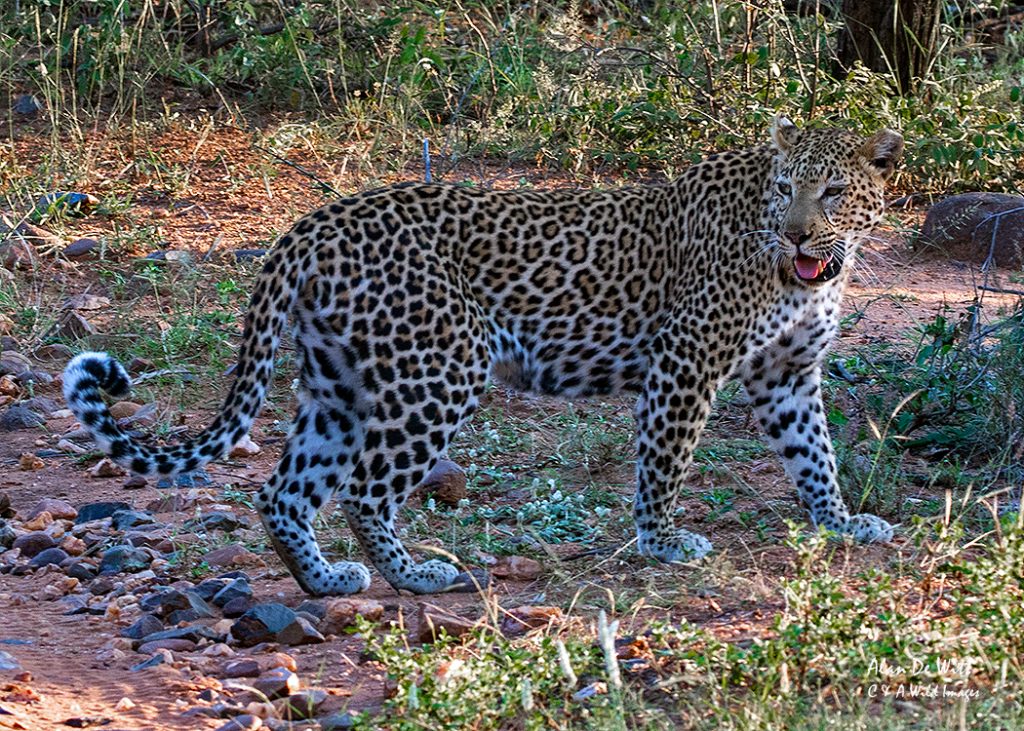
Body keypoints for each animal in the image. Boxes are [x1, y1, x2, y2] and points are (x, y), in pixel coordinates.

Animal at [63, 116, 902, 596]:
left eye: (833, 189)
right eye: (787, 187)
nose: (795, 232)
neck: (814, 271)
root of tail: (312, 222)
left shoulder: (788, 374)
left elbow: (815, 453)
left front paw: (840, 521)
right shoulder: (686, 360)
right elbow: (664, 462)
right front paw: (663, 540)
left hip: (339, 383)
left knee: (286, 490)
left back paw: (328, 580)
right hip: (440, 368)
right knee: (364, 488)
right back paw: (419, 575)